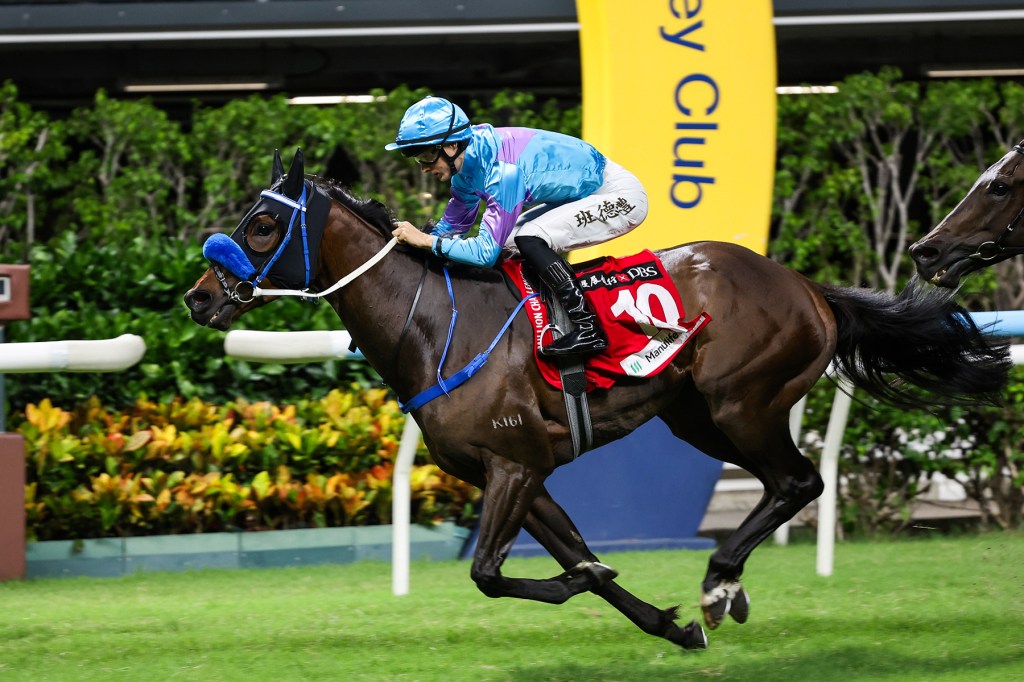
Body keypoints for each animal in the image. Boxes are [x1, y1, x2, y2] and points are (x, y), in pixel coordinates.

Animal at [184, 149, 1010, 650]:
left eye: (263, 225)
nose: (199, 297)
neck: (436, 322)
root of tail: (806, 284)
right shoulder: (514, 473)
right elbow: (573, 554)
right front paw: (663, 622)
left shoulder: (515, 466)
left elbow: (491, 575)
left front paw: (609, 586)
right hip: (694, 417)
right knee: (783, 483)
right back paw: (724, 588)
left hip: (741, 402)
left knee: (800, 480)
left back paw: (719, 580)